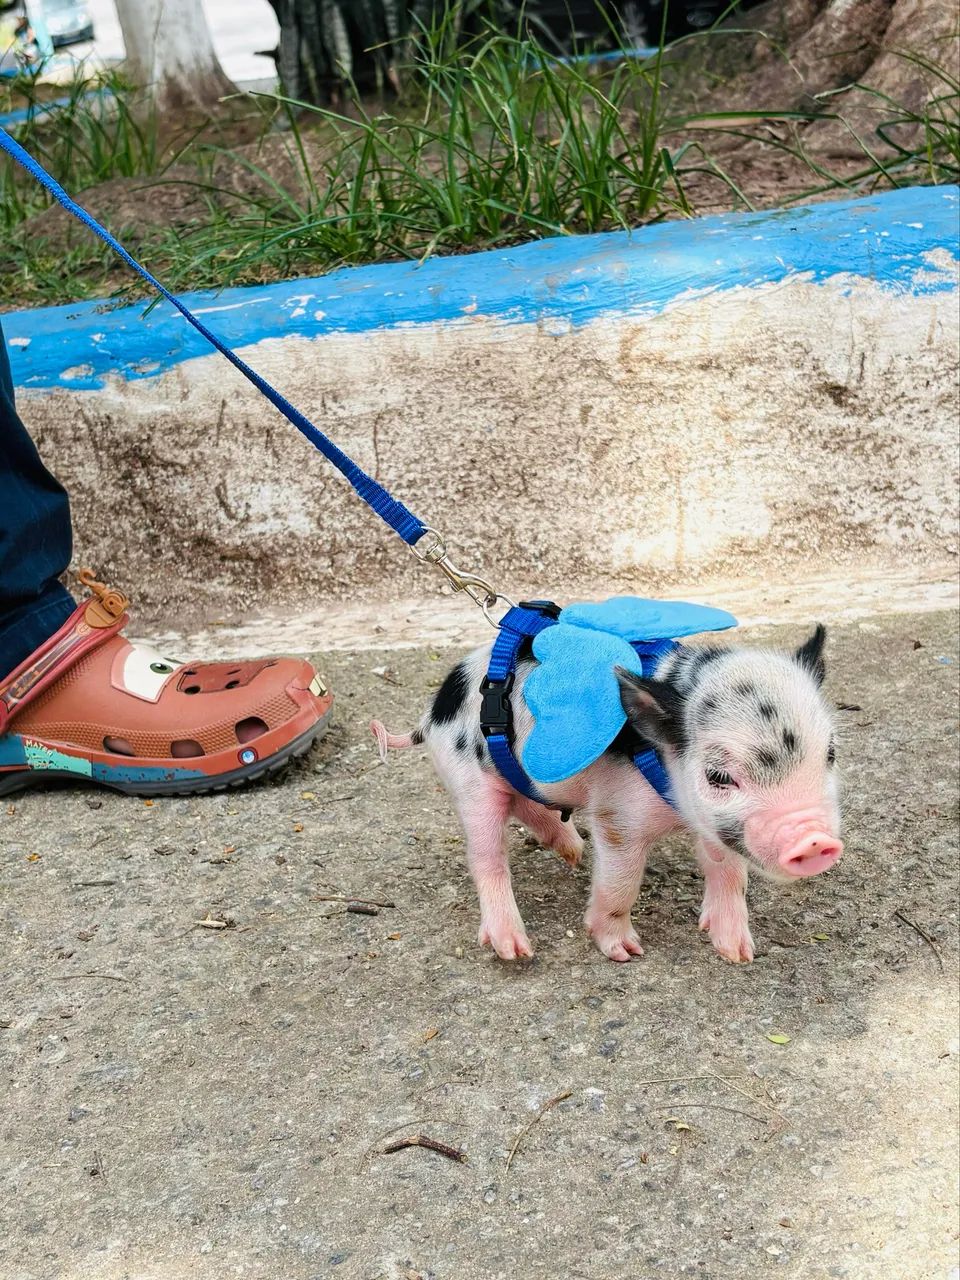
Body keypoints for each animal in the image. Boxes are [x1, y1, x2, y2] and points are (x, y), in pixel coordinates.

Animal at [371, 624, 842, 963]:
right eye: (720, 776)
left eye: (831, 752)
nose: (815, 840)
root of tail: (433, 713)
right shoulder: (618, 816)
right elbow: (620, 882)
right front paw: (625, 952)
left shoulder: (713, 823)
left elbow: (729, 870)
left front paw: (738, 954)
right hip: (470, 782)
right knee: (487, 856)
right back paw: (515, 949)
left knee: (525, 802)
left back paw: (573, 852)